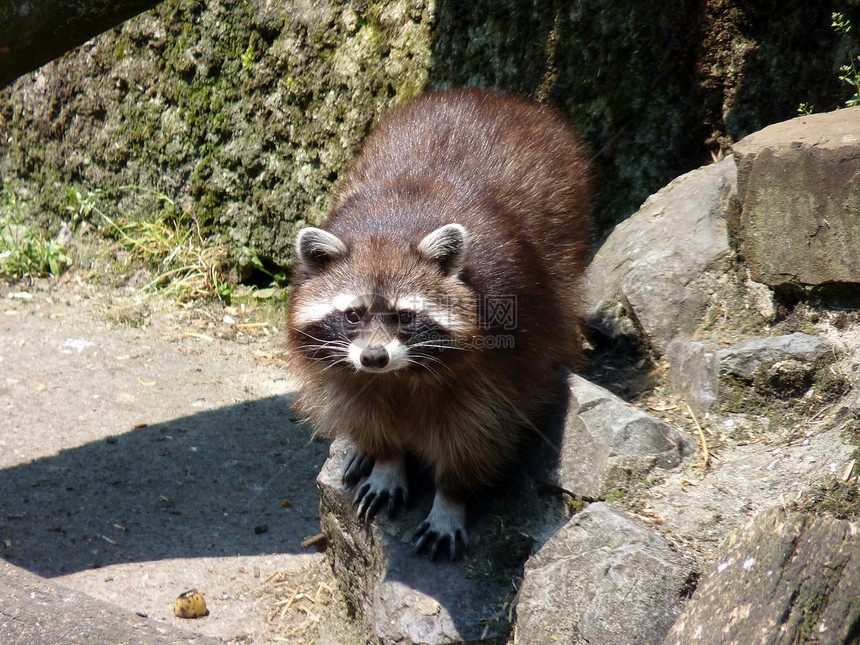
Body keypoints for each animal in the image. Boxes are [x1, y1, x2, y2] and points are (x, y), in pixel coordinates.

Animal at [288, 87, 592, 560]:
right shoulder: (345, 368)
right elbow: (362, 407)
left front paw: (451, 497)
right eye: (353, 314)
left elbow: (478, 432)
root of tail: (494, 97)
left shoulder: (502, 359)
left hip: (565, 225)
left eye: (405, 316)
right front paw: (386, 458)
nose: (374, 358)